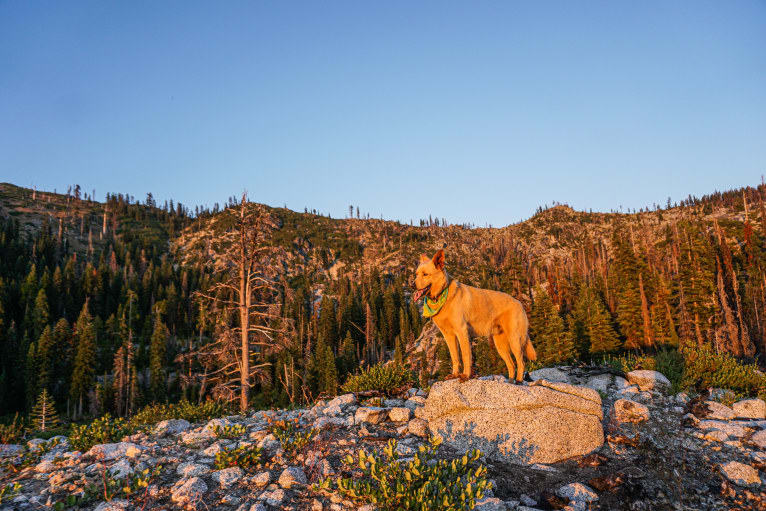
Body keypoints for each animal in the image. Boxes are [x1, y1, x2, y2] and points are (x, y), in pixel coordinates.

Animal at [414, 248, 540, 384]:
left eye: (425, 274)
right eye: (416, 274)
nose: (412, 285)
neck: (442, 296)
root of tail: (519, 303)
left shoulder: (462, 331)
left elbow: (465, 356)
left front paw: (465, 375)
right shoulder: (448, 335)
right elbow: (455, 357)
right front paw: (454, 374)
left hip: (514, 339)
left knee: (521, 362)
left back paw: (519, 381)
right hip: (500, 345)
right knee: (511, 365)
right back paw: (511, 382)